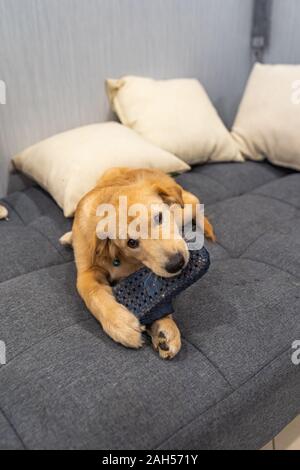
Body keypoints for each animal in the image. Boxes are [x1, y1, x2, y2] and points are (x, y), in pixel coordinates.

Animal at [70, 167, 214, 358]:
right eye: (131, 243)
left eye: (159, 217)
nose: (177, 263)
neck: (118, 256)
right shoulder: (86, 272)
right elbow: (93, 294)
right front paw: (120, 323)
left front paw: (165, 327)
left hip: (182, 210)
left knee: (194, 201)